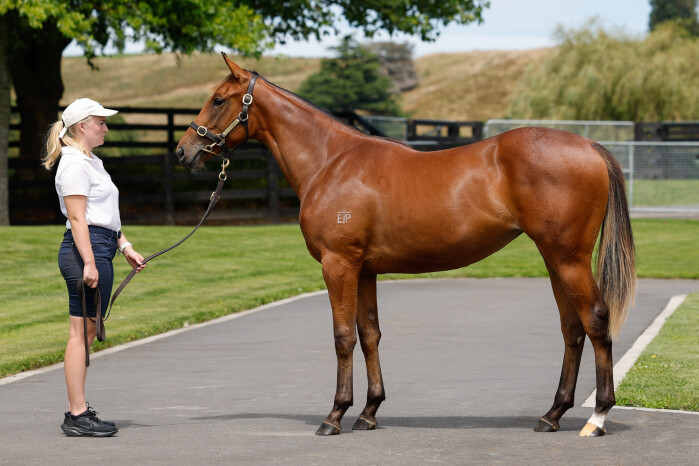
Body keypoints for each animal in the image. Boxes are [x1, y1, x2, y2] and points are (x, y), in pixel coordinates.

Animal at [176, 53, 636, 438]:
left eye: (218, 100)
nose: (184, 151)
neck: (331, 161)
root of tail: (589, 145)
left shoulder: (337, 264)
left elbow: (343, 336)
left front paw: (334, 415)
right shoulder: (364, 269)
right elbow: (369, 334)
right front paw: (368, 412)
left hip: (568, 258)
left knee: (596, 320)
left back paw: (597, 417)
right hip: (554, 259)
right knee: (572, 328)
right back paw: (552, 414)